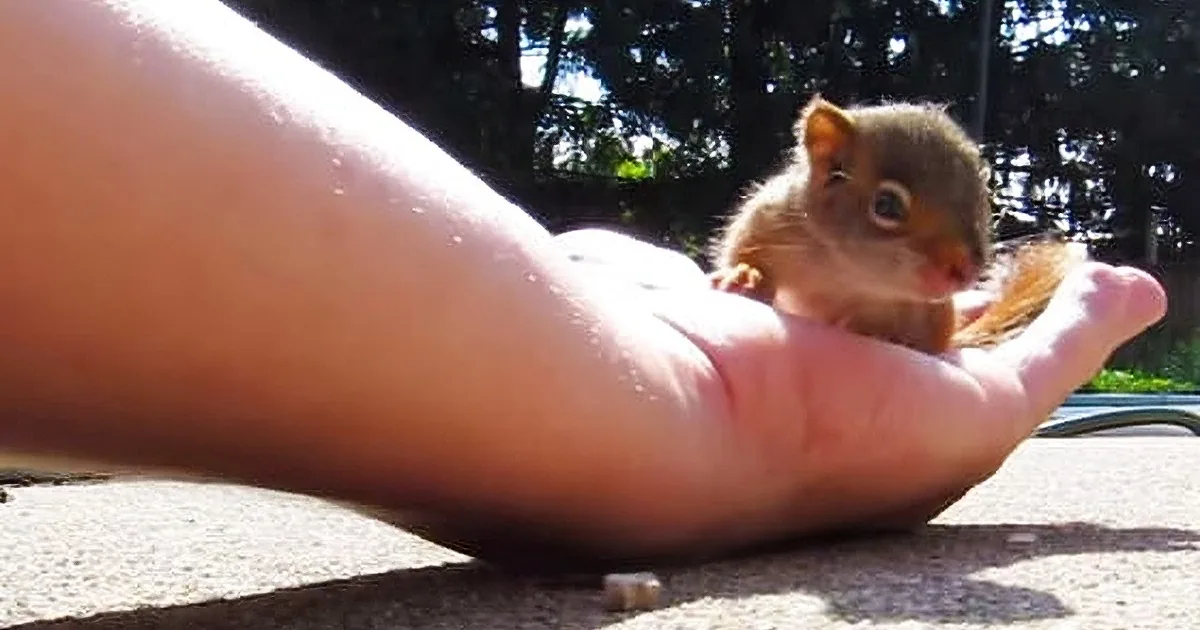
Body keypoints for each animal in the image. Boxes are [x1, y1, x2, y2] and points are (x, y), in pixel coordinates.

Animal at [708, 95, 1088, 355]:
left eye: (984, 200)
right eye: (886, 206)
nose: (965, 271)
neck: (848, 273)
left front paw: (875, 330)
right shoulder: (768, 221)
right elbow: (742, 252)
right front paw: (743, 276)